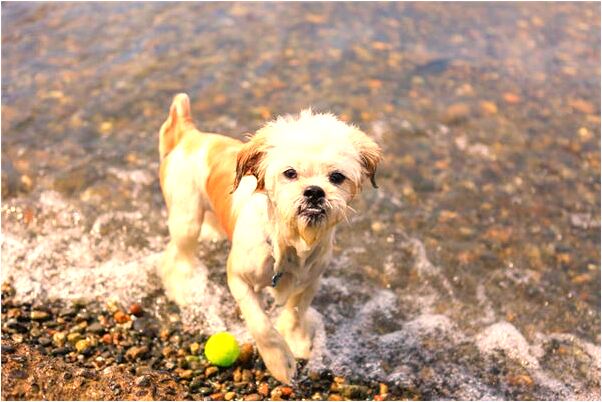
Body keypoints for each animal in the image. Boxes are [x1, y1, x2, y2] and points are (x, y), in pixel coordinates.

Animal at [156, 93, 380, 384]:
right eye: (290, 173)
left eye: (337, 177)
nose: (314, 192)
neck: (288, 243)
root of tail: (189, 134)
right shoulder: (238, 279)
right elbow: (261, 325)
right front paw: (280, 362)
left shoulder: (311, 280)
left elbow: (297, 311)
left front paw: (295, 340)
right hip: (186, 219)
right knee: (178, 255)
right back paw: (184, 286)